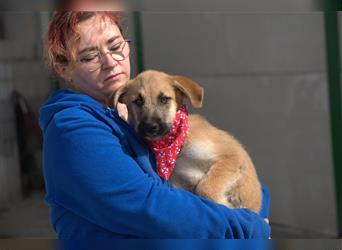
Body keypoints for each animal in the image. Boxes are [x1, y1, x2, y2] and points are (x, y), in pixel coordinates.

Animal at [112, 70, 262, 213]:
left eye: (164, 99)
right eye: (138, 101)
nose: (150, 127)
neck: (178, 148)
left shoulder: (232, 156)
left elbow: (206, 187)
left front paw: (227, 205)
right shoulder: (180, 184)